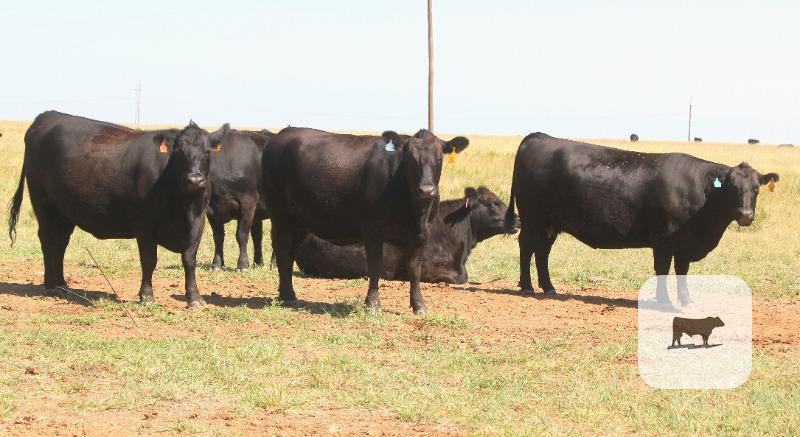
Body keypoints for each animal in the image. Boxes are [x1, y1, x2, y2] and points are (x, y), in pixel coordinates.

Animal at [7, 111, 229, 307]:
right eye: (178, 153)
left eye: (207, 152)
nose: (195, 179)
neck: (183, 204)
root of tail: (46, 117)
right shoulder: (144, 224)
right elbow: (149, 260)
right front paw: (147, 296)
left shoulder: (198, 223)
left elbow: (189, 260)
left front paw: (195, 298)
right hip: (44, 205)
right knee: (48, 241)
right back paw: (51, 285)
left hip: (64, 213)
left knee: (59, 243)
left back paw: (61, 284)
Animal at [207, 129, 273, 271]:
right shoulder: (210, 209)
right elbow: (218, 237)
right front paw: (216, 264)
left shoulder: (248, 202)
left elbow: (241, 234)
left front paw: (242, 265)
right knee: (257, 236)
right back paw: (258, 263)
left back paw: (273, 264)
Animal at [262, 127, 469, 314]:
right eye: (410, 159)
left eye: (439, 159)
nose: (427, 190)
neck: (414, 212)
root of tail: (282, 134)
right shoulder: (373, 229)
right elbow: (375, 266)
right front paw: (373, 304)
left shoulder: (422, 234)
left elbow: (415, 269)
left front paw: (419, 305)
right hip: (281, 216)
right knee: (283, 252)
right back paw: (288, 297)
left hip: (300, 222)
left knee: (289, 254)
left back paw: (285, 293)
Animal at [504, 132, 779, 305]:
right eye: (732, 188)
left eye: (756, 188)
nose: (745, 215)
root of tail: (539, 136)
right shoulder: (664, 238)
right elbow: (662, 270)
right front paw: (664, 301)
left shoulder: (684, 244)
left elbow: (682, 271)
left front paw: (686, 300)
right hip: (533, 219)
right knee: (526, 247)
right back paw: (527, 286)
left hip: (549, 224)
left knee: (541, 252)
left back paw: (549, 287)